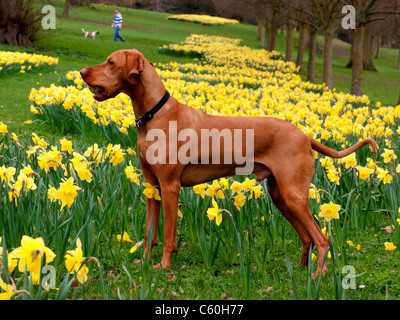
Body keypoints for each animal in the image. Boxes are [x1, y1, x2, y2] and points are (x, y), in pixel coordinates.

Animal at [79, 49, 376, 276]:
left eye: (110, 62)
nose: (81, 72)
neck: (155, 114)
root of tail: (305, 135)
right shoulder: (152, 187)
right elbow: (150, 233)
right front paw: (143, 264)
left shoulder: (170, 187)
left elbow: (167, 235)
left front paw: (163, 267)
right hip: (281, 196)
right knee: (307, 238)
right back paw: (302, 268)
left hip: (293, 194)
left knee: (322, 238)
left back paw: (318, 275)